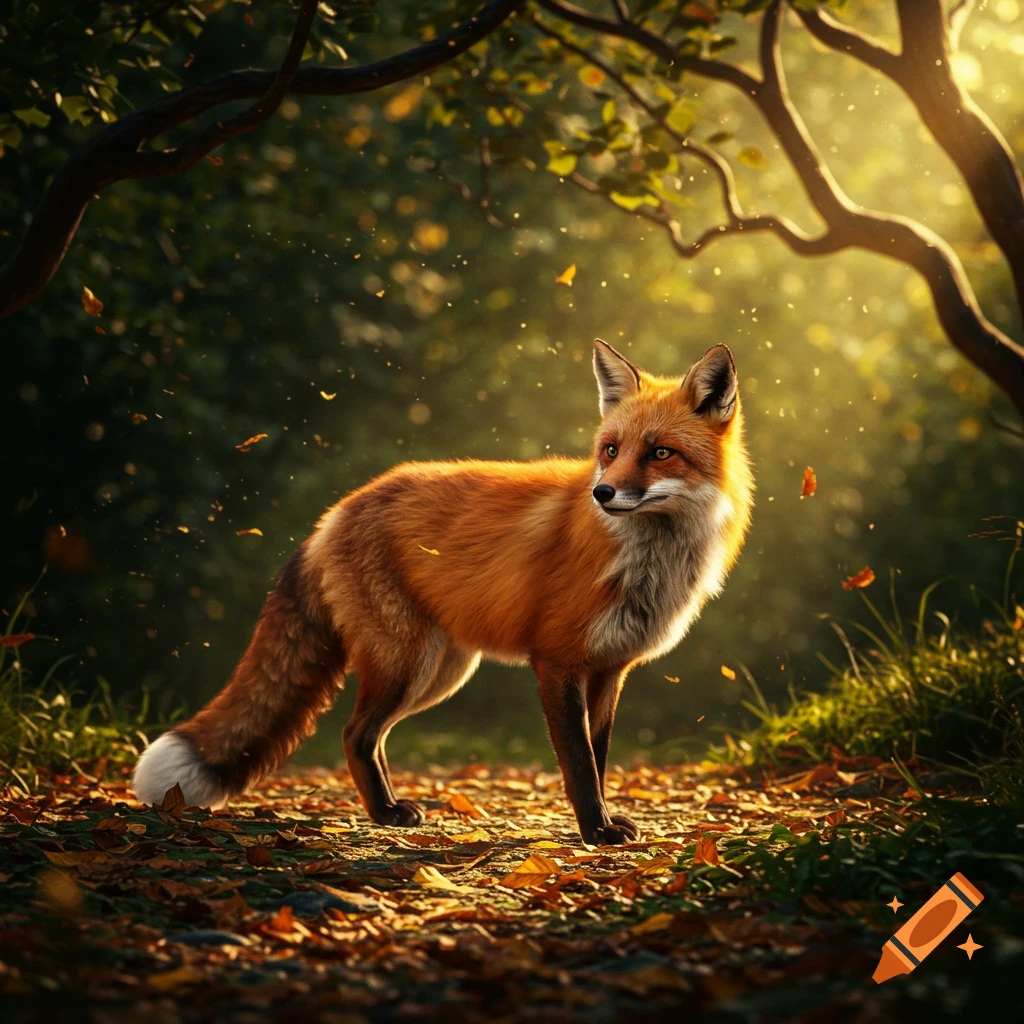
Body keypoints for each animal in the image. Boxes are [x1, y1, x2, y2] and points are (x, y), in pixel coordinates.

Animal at [133, 340, 753, 845]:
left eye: (660, 452)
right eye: (611, 450)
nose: (602, 493)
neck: (645, 561)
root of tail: (335, 512)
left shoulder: (608, 669)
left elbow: (598, 758)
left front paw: (600, 823)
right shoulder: (556, 661)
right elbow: (578, 764)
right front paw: (595, 832)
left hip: (442, 670)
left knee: (368, 736)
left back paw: (387, 811)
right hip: (408, 662)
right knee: (354, 732)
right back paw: (385, 814)